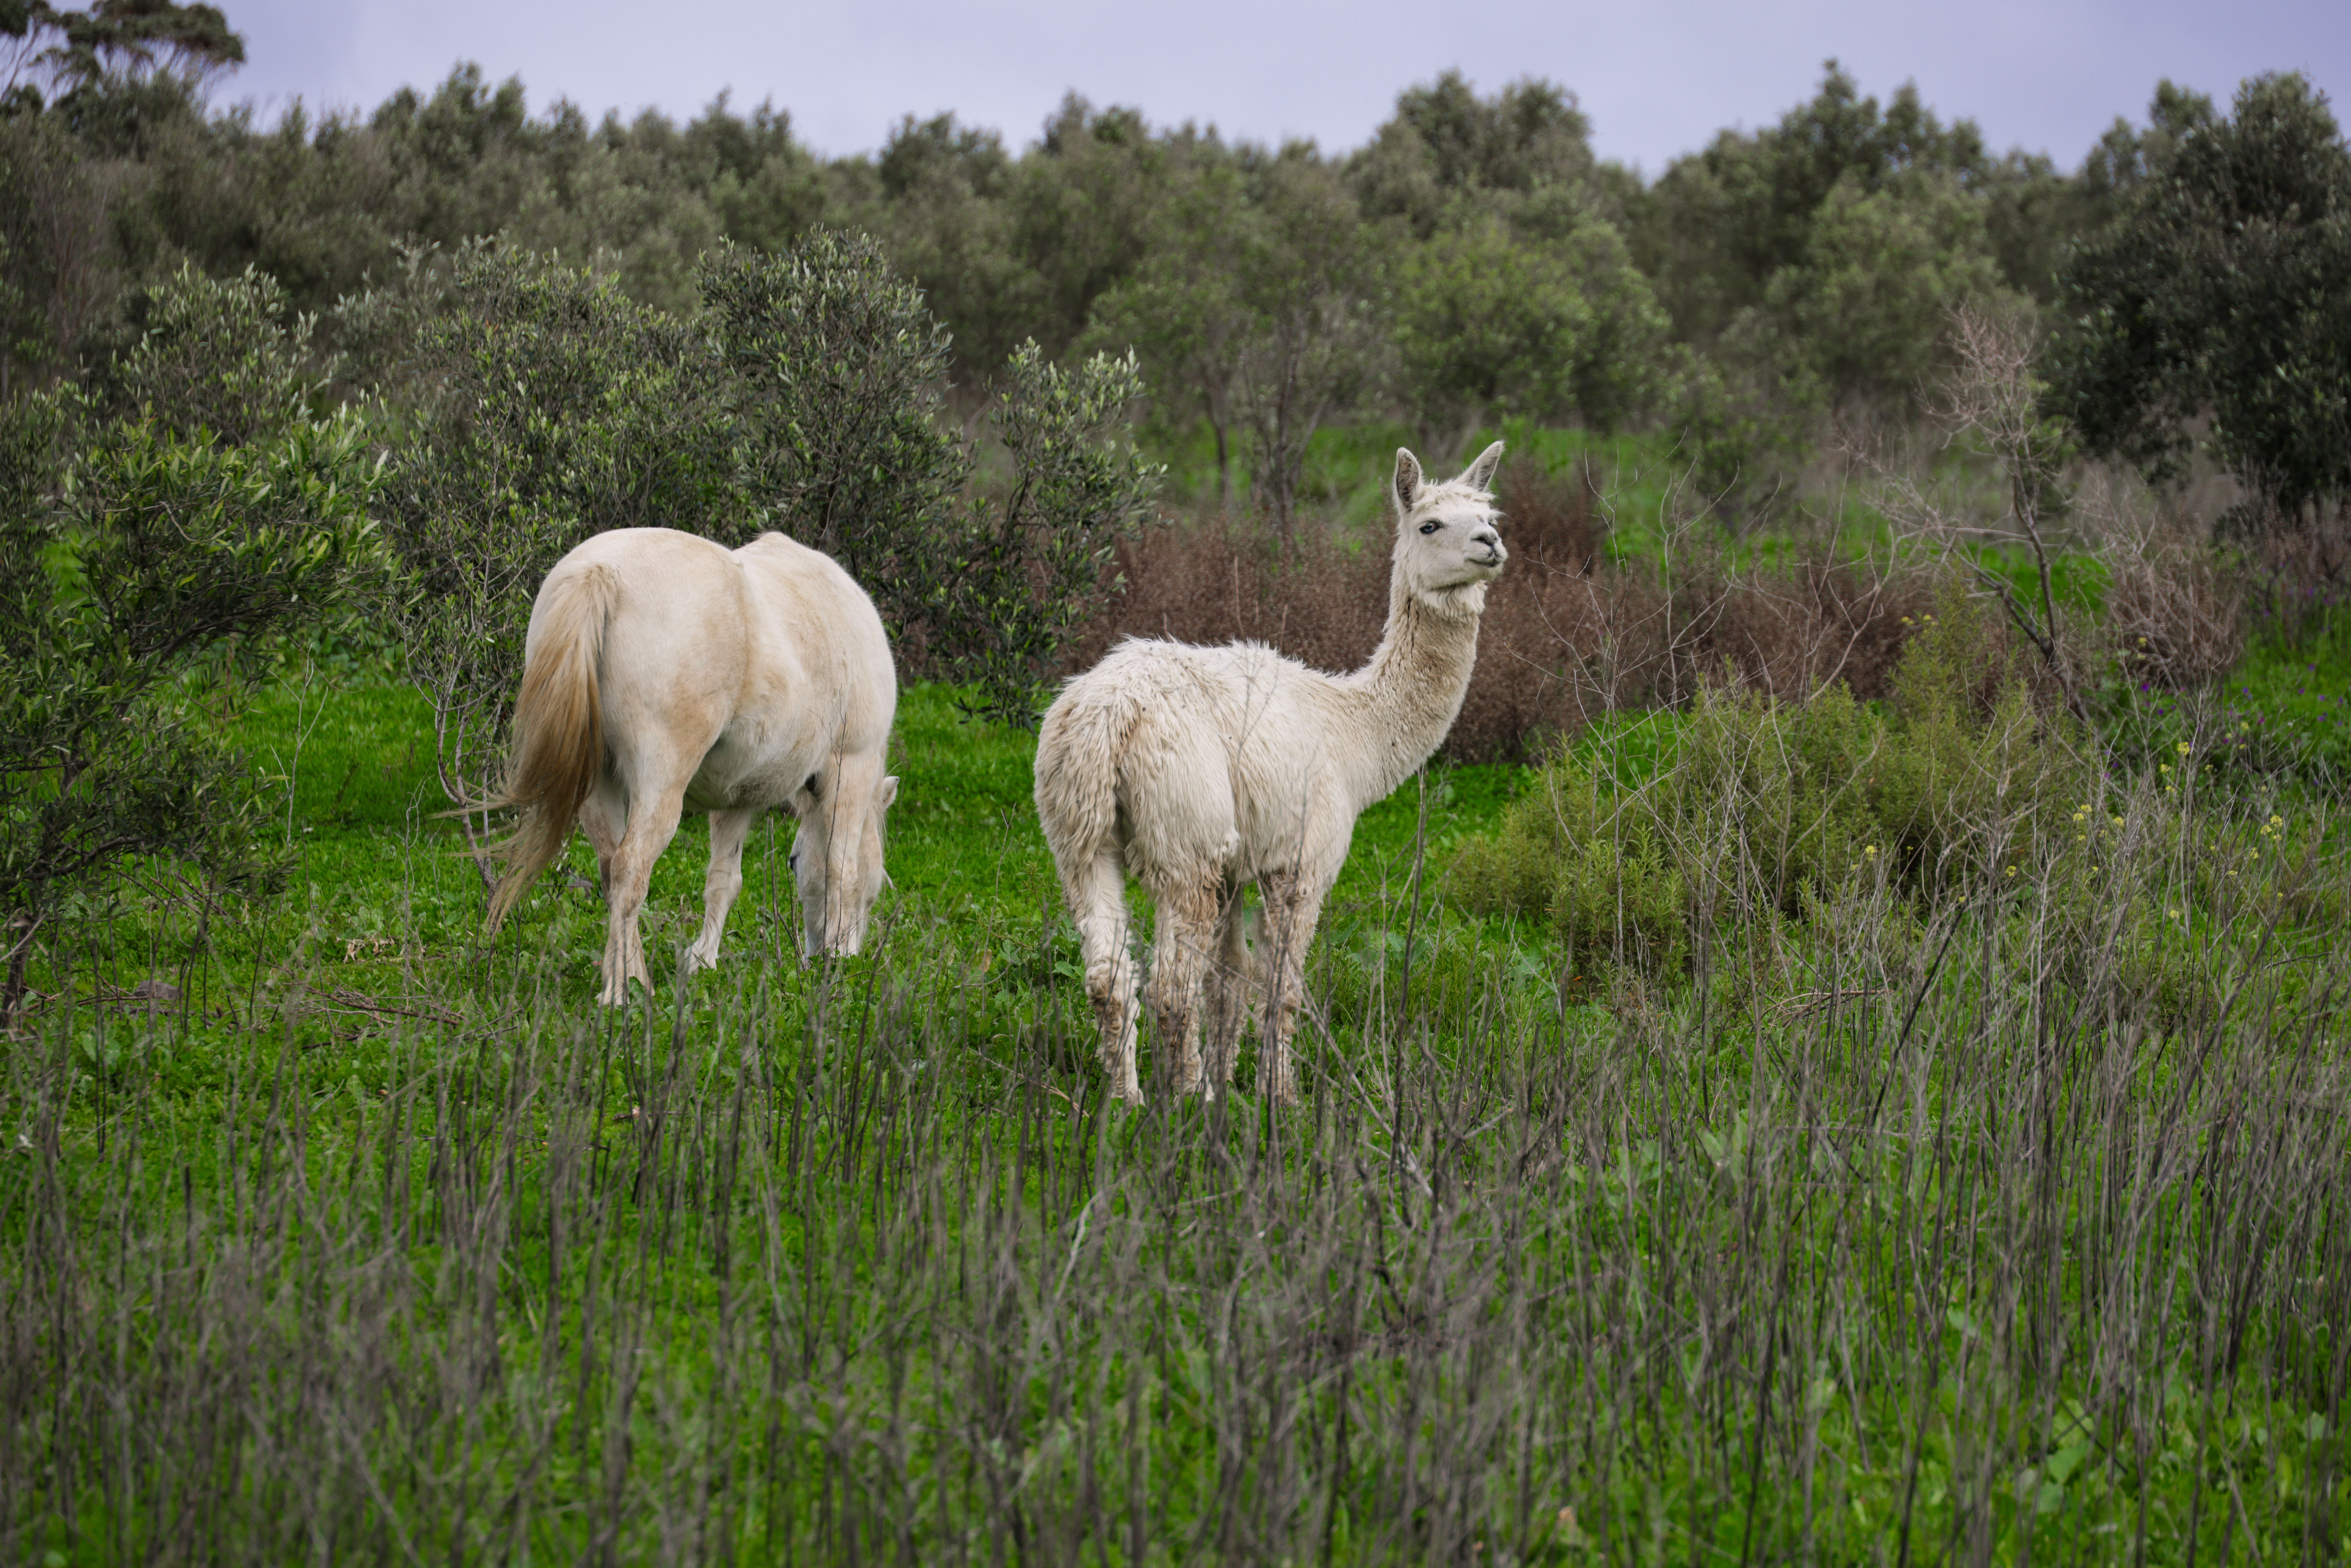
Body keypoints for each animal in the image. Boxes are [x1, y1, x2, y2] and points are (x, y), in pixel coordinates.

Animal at [482, 527, 899, 1003]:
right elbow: (840, 868)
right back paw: (619, 994)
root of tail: (601, 572)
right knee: (630, 869)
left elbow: (725, 880)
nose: (824, 955)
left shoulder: (736, 799)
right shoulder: (852, 768)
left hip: (598, 784)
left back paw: (632, 977)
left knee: (610, 868)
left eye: (792, 861)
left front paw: (703, 961)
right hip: (661, 783)